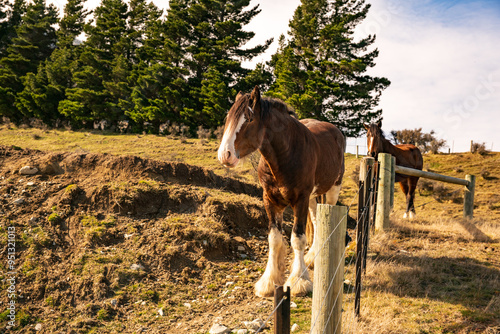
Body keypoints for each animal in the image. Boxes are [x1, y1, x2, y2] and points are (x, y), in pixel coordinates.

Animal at [217, 86, 346, 298]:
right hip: (313, 198)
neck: (285, 155)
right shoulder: (270, 200)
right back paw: (313, 256)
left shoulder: (300, 200)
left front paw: (299, 281)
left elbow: (297, 238)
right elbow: (275, 239)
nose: (224, 155)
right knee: (316, 220)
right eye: (228, 118)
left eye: (249, 119)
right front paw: (269, 281)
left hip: (332, 189)